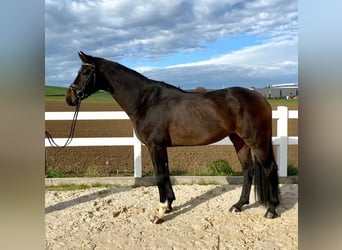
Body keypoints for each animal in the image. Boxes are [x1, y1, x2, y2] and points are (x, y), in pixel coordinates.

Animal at [65, 50, 280, 223]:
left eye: (85, 72)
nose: (70, 97)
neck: (146, 101)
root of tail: (260, 98)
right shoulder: (161, 147)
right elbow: (166, 175)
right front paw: (168, 206)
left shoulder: (155, 146)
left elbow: (160, 176)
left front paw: (159, 213)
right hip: (239, 141)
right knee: (248, 170)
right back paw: (238, 205)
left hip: (256, 141)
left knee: (270, 168)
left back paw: (271, 209)